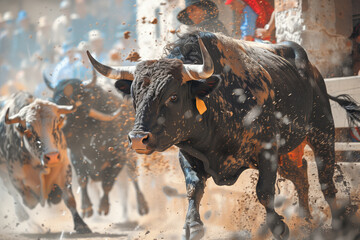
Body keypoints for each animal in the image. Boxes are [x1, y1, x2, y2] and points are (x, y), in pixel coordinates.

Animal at [0, 91, 90, 233]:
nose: (52, 157)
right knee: (12, 193)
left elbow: (69, 199)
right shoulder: (15, 176)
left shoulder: (64, 167)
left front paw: (81, 225)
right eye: (29, 131)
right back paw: (25, 217)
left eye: (56, 125)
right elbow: (27, 199)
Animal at [44, 70, 149, 218]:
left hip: (131, 157)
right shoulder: (75, 155)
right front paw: (86, 208)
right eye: (56, 100)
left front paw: (103, 207)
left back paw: (142, 206)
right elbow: (82, 180)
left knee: (133, 176)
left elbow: (108, 182)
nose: (60, 126)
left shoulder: (119, 158)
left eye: (76, 99)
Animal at [88, 31, 360, 240]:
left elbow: (264, 191)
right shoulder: (187, 152)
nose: (137, 139)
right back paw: (305, 219)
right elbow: (193, 188)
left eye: (173, 97)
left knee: (326, 181)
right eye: (135, 96)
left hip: (322, 131)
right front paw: (192, 226)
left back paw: (337, 224)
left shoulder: (267, 150)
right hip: (288, 152)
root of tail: (311, 70)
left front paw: (279, 227)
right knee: (301, 173)